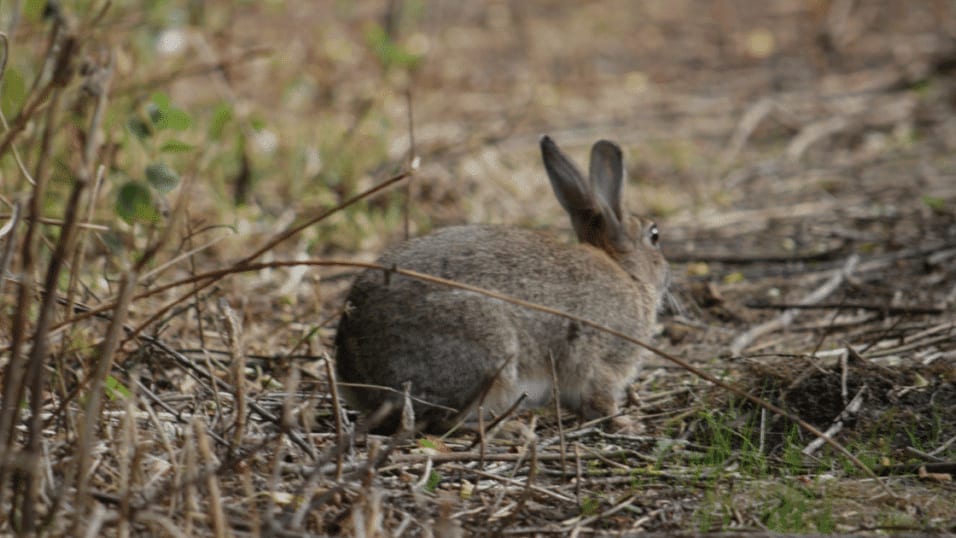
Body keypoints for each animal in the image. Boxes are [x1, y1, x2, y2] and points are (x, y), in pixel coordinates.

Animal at [334, 135, 669, 433]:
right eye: (654, 235)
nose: (667, 274)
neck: (627, 272)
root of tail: (355, 370)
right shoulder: (604, 361)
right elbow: (602, 400)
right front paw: (627, 425)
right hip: (488, 355)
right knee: (441, 423)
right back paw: (510, 430)